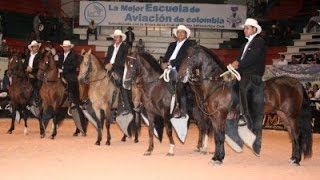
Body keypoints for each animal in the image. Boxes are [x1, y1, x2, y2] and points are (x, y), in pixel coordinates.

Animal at [178, 44, 312, 165]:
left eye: (190, 57)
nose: (180, 75)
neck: (217, 85)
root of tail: (297, 83)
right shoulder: (214, 118)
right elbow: (217, 136)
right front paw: (217, 157)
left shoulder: (221, 115)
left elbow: (220, 136)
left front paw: (218, 159)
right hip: (284, 115)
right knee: (293, 135)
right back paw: (293, 158)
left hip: (291, 116)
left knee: (297, 134)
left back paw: (296, 160)